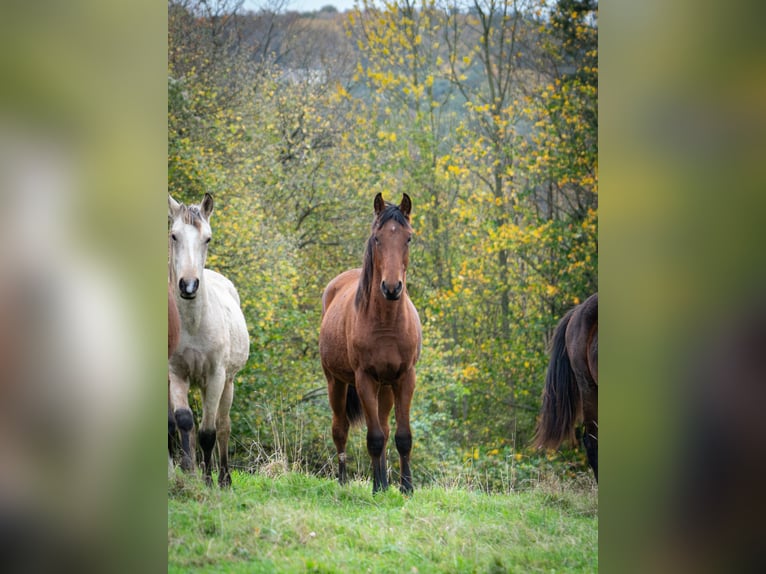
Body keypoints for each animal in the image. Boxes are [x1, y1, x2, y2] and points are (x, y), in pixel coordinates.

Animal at [168, 193, 249, 487]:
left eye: (208, 239)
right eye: (174, 235)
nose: (189, 285)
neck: (193, 324)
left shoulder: (216, 375)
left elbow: (209, 432)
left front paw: (209, 481)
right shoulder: (176, 373)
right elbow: (184, 422)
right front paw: (190, 472)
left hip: (227, 382)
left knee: (222, 425)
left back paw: (223, 477)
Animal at [319, 193, 422, 494]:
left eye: (408, 238)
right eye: (377, 238)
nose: (392, 287)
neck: (386, 323)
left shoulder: (405, 377)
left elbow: (401, 436)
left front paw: (406, 488)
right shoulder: (364, 379)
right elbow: (373, 438)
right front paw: (377, 489)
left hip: (385, 387)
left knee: (386, 430)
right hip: (336, 383)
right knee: (340, 430)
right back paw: (343, 481)